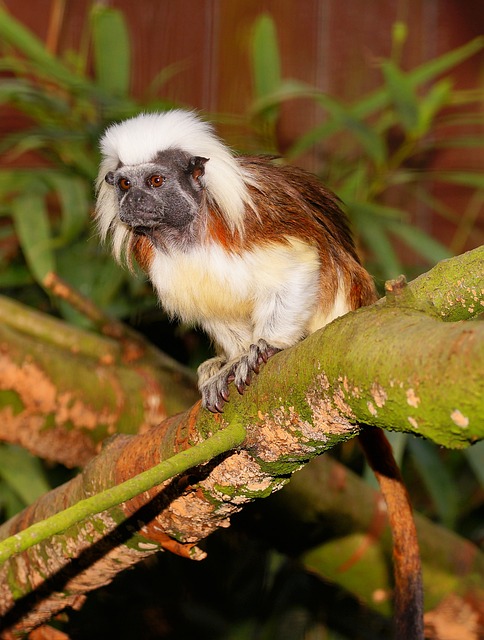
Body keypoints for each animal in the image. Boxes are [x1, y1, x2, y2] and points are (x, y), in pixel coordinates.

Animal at [95, 109, 424, 638]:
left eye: (156, 181)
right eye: (124, 183)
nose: (133, 200)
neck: (187, 234)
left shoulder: (256, 226)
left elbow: (301, 266)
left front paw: (265, 349)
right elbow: (219, 317)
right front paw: (228, 363)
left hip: (344, 295)